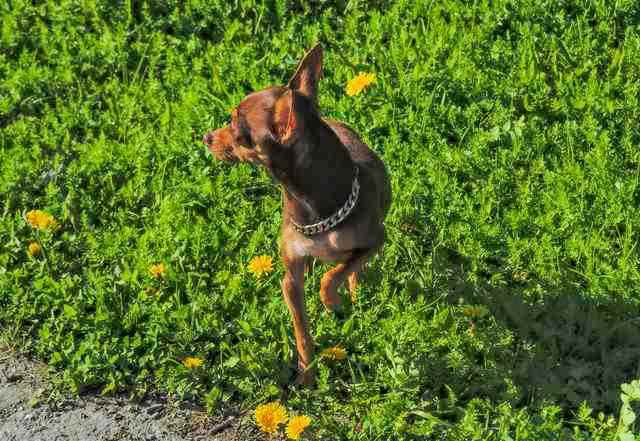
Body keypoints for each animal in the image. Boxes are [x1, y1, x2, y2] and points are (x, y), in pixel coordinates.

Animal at [204, 43, 390, 384]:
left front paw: (331, 300)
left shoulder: (374, 241)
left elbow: (333, 275)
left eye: (236, 127)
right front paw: (307, 376)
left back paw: (353, 296)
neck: (313, 210)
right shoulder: (291, 280)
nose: (206, 138)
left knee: (351, 271)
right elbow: (302, 333)